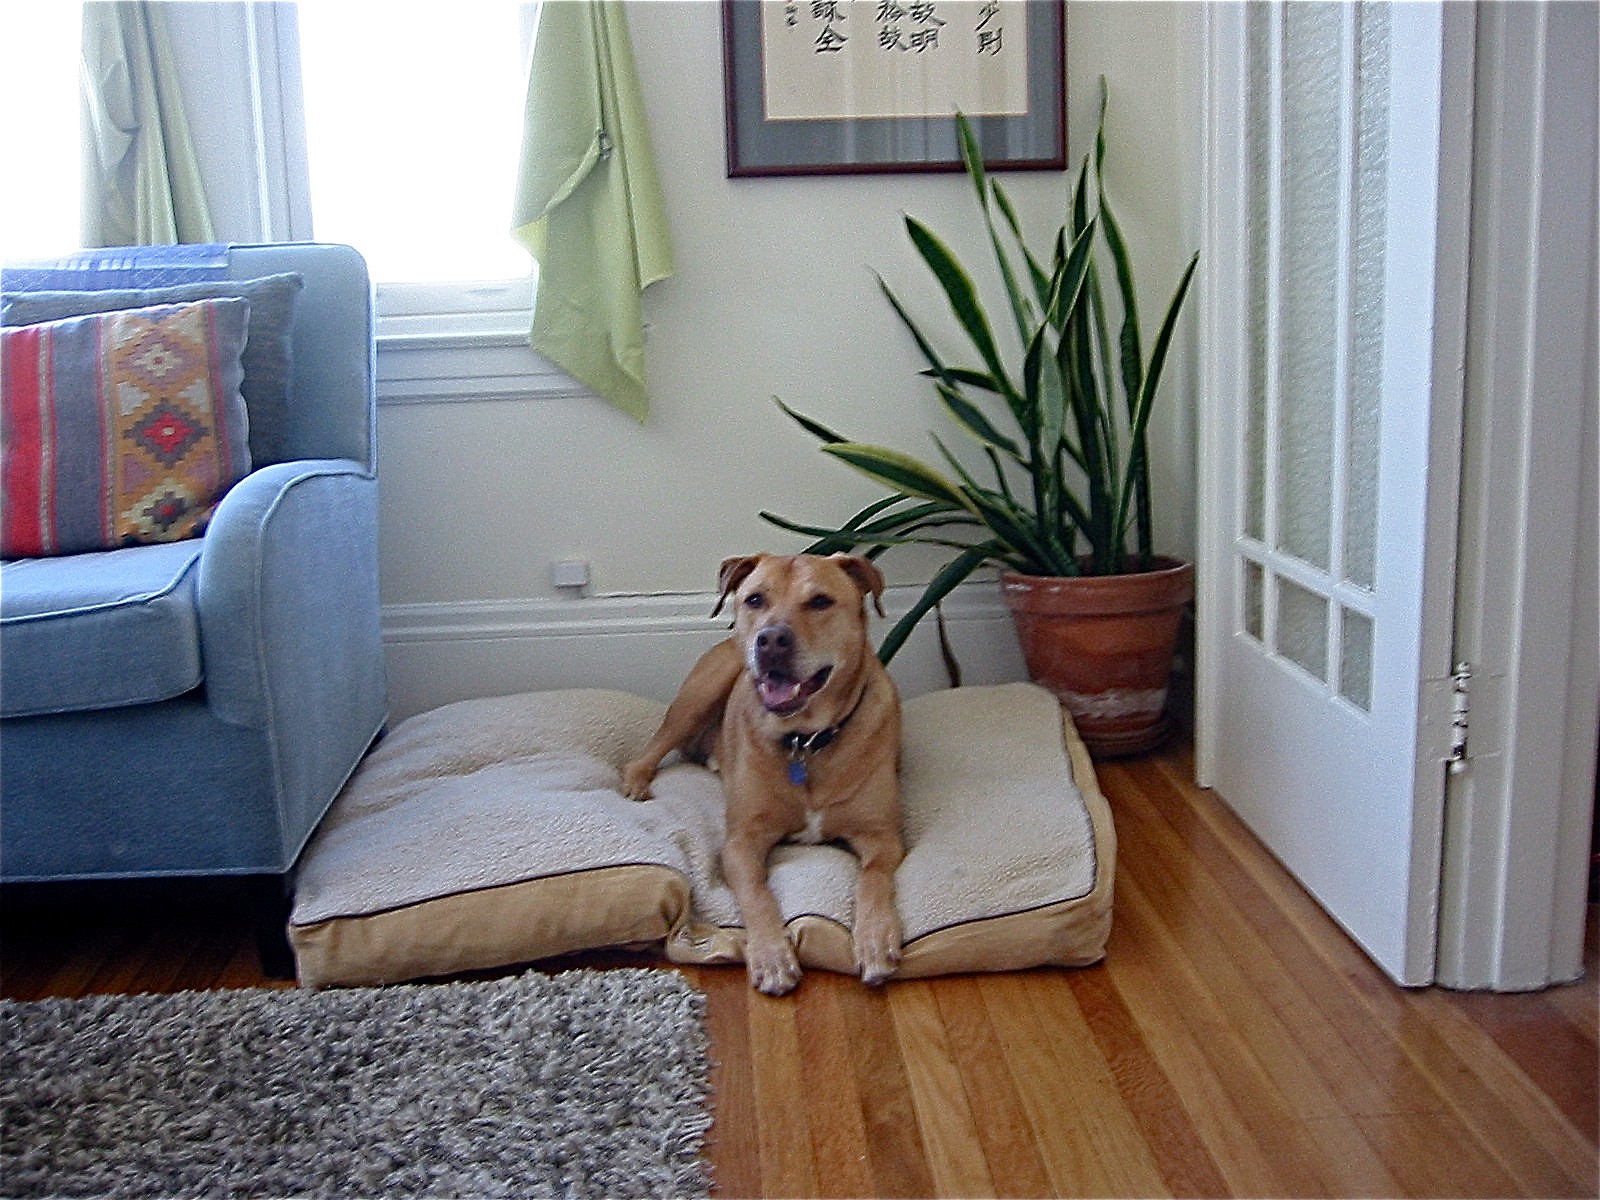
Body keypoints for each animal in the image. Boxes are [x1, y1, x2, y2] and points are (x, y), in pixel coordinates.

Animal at [622, 553, 903, 996]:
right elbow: (757, 892)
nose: (771, 640)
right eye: (755, 599)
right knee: (653, 747)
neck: (804, 740)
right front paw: (772, 956)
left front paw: (875, 942)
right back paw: (636, 782)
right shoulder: (741, 843)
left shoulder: (882, 835)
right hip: (699, 694)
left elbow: (872, 879)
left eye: (820, 601)